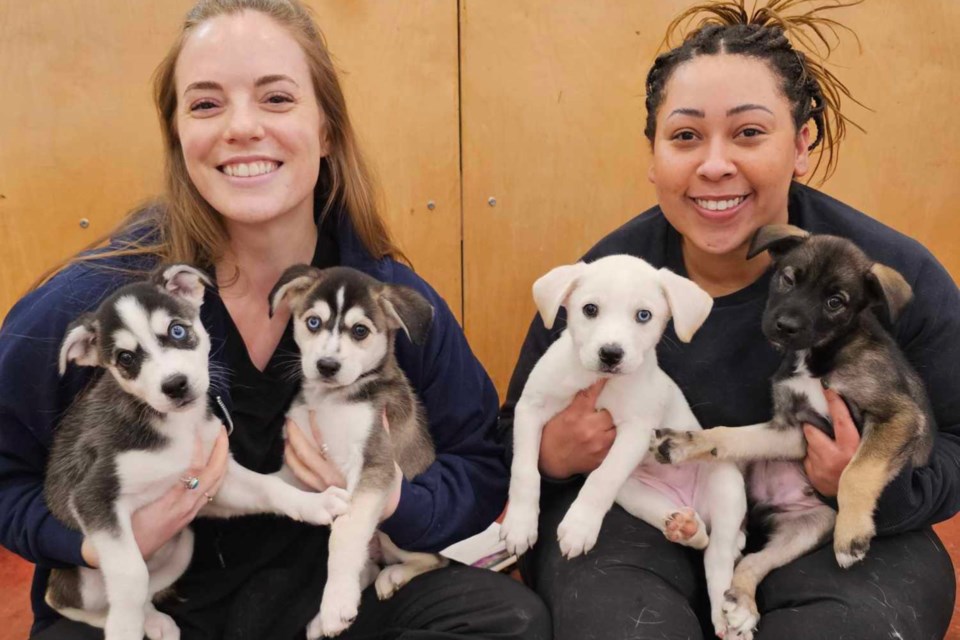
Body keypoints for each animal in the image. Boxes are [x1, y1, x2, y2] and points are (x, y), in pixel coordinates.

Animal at [45, 264, 350, 640]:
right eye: (126, 358)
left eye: (178, 330)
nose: (175, 385)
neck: (177, 428)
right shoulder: (94, 496)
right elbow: (131, 574)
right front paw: (125, 628)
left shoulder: (214, 481)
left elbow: (269, 486)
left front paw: (314, 503)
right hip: (84, 580)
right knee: (67, 600)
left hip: (183, 546)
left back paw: (154, 621)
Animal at [270, 264, 450, 640]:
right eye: (313, 322)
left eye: (359, 331)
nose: (326, 365)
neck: (332, 400)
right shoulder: (296, 469)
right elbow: (273, 484)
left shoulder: (374, 465)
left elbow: (345, 533)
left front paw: (336, 603)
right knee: (367, 567)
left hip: (397, 533)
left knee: (433, 560)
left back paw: (391, 577)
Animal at [502, 254, 752, 636]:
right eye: (590, 309)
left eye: (643, 315)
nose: (611, 354)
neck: (595, 380)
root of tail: (692, 503)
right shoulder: (530, 409)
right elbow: (525, 472)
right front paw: (519, 524)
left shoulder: (636, 431)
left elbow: (600, 479)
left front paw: (579, 527)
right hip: (634, 495)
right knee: (693, 533)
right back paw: (685, 527)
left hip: (726, 484)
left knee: (718, 556)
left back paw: (725, 617)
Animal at [648, 224, 932, 636]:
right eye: (788, 279)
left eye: (836, 302)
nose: (785, 327)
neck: (817, 358)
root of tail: (771, 505)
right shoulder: (792, 430)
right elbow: (727, 434)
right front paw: (687, 442)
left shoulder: (899, 415)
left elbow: (857, 471)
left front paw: (852, 534)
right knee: (748, 557)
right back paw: (740, 599)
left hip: (812, 524)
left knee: (753, 558)